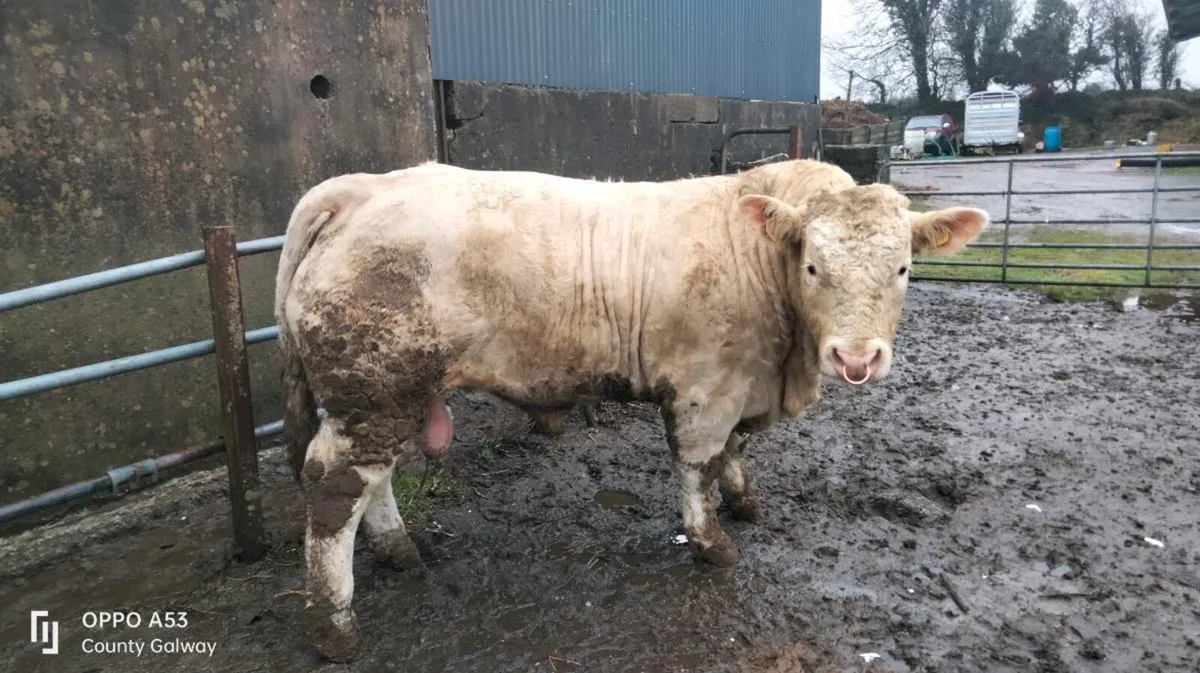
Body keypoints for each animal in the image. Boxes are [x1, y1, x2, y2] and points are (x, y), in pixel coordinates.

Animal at [273, 159, 987, 661]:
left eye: (903, 269)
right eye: (813, 266)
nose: (856, 356)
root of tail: (359, 188)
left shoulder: (745, 387)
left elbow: (737, 451)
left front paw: (745, 500)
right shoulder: (706, 388)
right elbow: (697, 466)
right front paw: (711, 540)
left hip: (384, 395)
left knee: (374, 481)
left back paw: (399, 552)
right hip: (374, 387)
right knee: (335, 489)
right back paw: (333, 626)